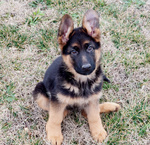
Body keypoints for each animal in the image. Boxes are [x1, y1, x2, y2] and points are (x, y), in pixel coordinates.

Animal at [33, 9, 120, 144]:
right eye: (73, 52)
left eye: (90, 48)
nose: (86, 67)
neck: (82, 83)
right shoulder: (57, 100)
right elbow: (55, 118)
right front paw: (54, 135)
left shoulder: (92, 99)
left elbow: (94, 116)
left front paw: (97, 131)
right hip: (39, 91)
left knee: (87, 111)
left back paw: (111, 106)